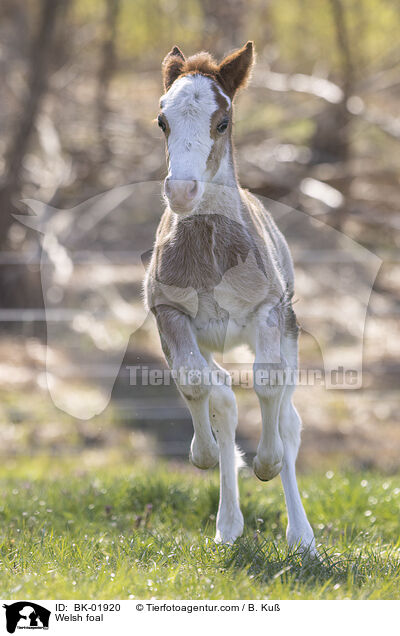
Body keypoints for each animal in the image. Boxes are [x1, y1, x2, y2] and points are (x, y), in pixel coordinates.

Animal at [144, 42, 316, 556]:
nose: (182, 192)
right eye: (162, 121)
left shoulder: (269, 312)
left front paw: (266, 463)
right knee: (221, 394)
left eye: (223, 123)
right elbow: (196, 383)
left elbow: (267, 382)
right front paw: (201, 453)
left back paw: (302, 538)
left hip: (290, 327)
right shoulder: (168, 314)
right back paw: (228, 527)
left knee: (291, 419)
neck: (212, 254)